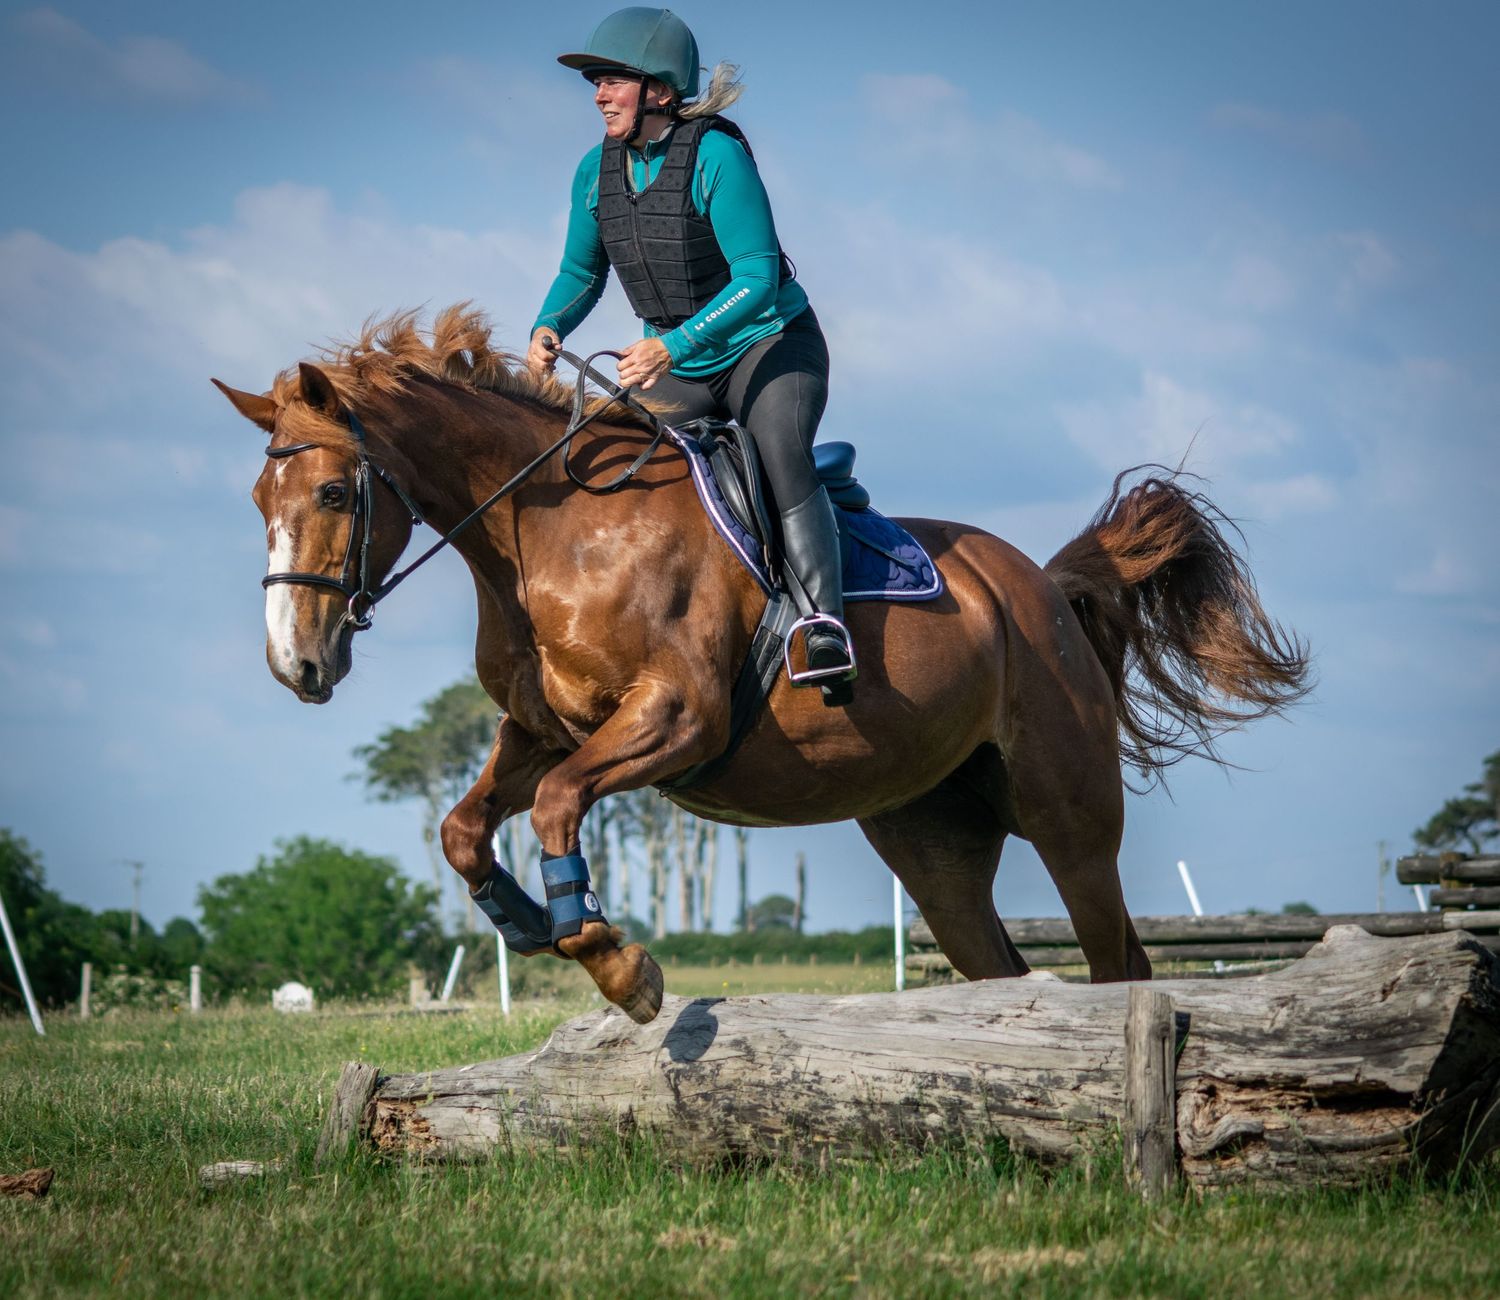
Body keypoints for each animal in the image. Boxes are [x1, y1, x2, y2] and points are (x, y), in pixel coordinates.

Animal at [214, 306, 1310, 1023]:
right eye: (260, 503)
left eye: (336, 494)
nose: (295, 664)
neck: (549, 535)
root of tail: (1039, 586)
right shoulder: (541, 731)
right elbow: (462, 828)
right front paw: (527, 919)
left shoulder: (675, 718)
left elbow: (562, 806)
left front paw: (618, 964)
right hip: (933, 839)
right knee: (992, 959)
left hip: (1067, 811)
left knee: (1118, 956)